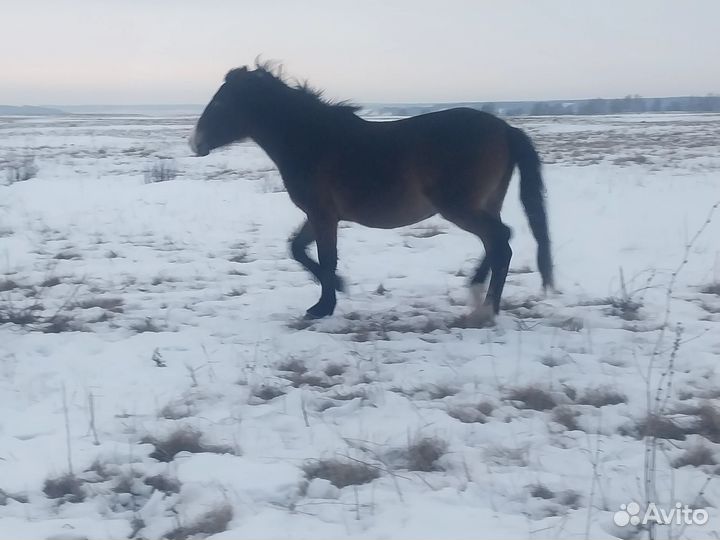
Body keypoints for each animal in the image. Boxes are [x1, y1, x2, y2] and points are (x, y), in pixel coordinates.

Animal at [190, 64, 553, 325]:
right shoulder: (320, 215)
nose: (195, 143)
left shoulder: (322, 215)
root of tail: (505, 129)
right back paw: (477, 295)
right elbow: (297, 249)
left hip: (460, 207)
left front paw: (325, 304)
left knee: (500, 242)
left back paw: (485, 310)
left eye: (221, 102)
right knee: (499, 241)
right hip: (487, 203)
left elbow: (324, 257)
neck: (311, 140)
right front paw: (336, 289)